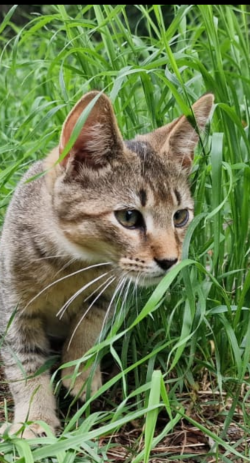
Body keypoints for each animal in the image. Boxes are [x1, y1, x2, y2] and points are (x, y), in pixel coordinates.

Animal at [0, 89, 214, 438]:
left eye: (180, 216)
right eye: (128, 217)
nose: (170, 260)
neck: (71, 265)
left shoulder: (109, 293)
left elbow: (88, 330)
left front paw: (80, 374)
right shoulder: (14, 308)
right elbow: (25, 363)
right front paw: (34, 421)